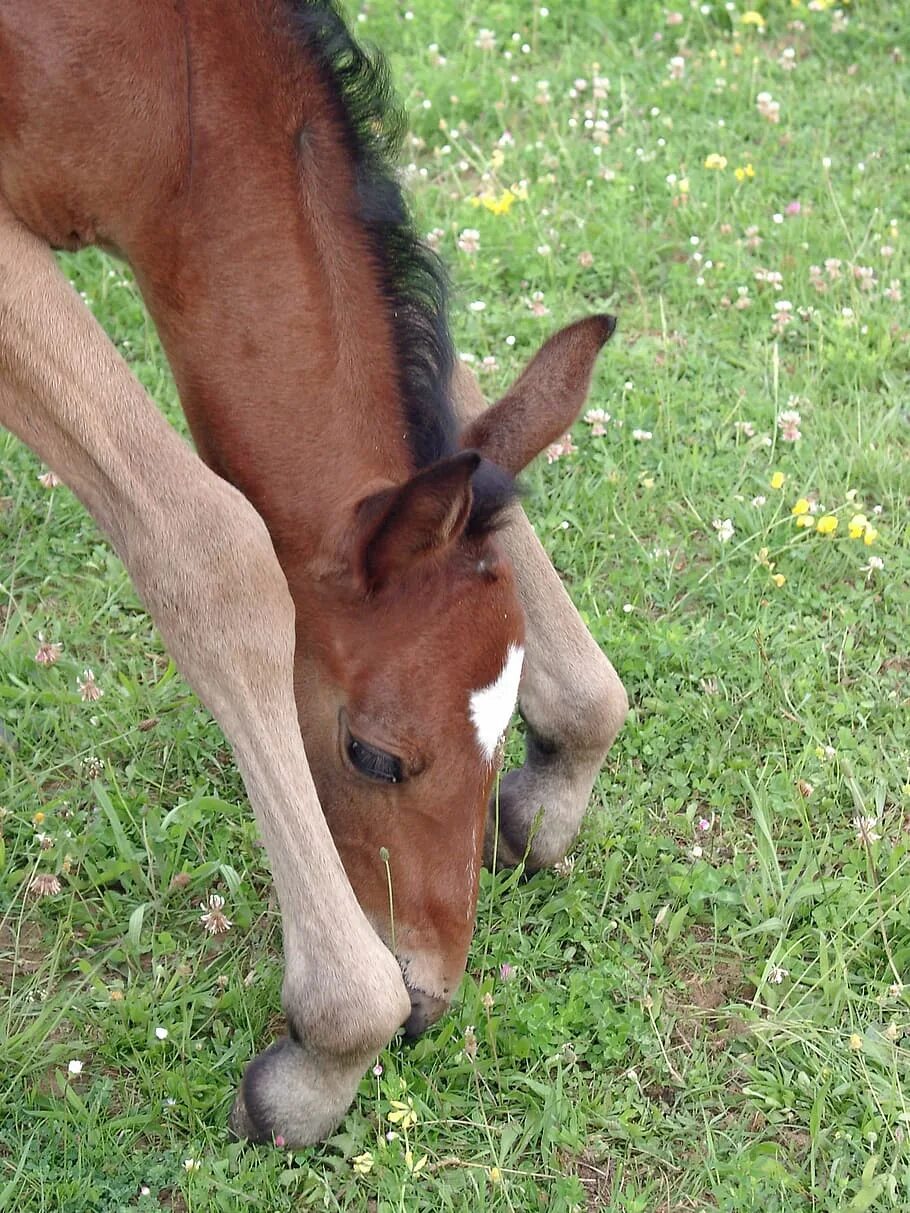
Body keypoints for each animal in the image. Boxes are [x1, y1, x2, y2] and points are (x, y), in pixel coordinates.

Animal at [0, 0, 626, 1140]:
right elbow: (210, 550)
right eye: (373, 755)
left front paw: (562, 770)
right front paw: (332, 1046)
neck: (157, 77)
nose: (429, 995)